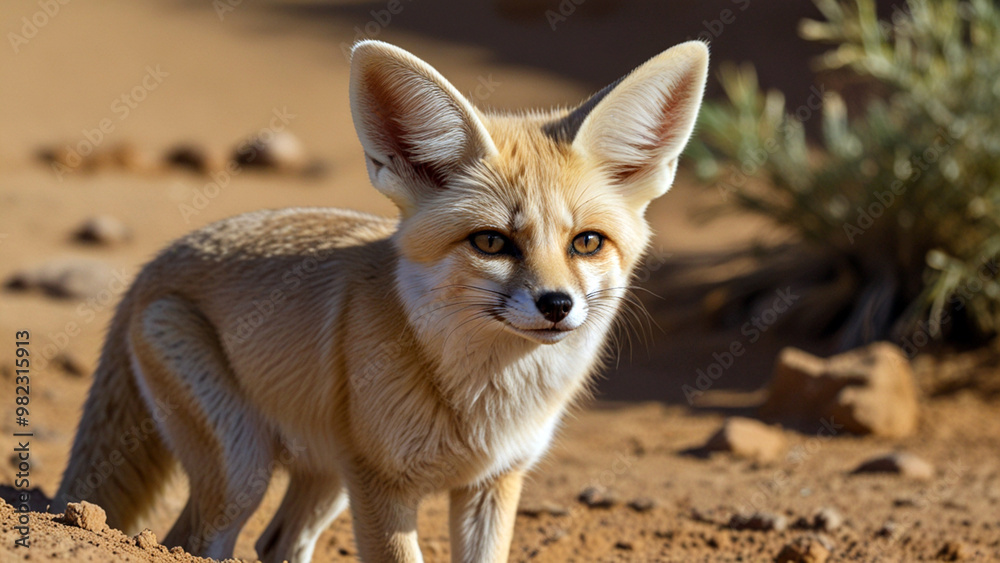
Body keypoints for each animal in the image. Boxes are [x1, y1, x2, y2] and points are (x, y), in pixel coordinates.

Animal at [52, 40, 709, 562]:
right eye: (491, 242)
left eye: (586, 243)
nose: (557, 305)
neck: (483, 403)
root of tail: (156, 262)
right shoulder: (382, 487)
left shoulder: (491, 484)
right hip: (246, 471)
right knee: (193, 540)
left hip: (326, 476)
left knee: (278, 543)